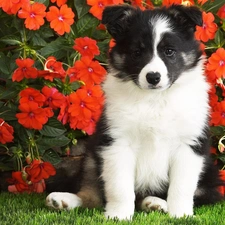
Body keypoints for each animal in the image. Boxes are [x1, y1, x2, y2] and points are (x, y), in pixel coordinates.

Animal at [46, 4, 224, 221]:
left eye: (169, 51)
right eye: (137, 52)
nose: (153, 77)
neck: (155, 100)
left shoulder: (188, 144)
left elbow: (181, 187)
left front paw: (181, 215)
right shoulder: (117, 142)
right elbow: (119, 186)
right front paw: (118, 215)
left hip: (210, 176)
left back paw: (155, 203)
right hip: (91, 155)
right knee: (91, 194)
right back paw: (62, 200)